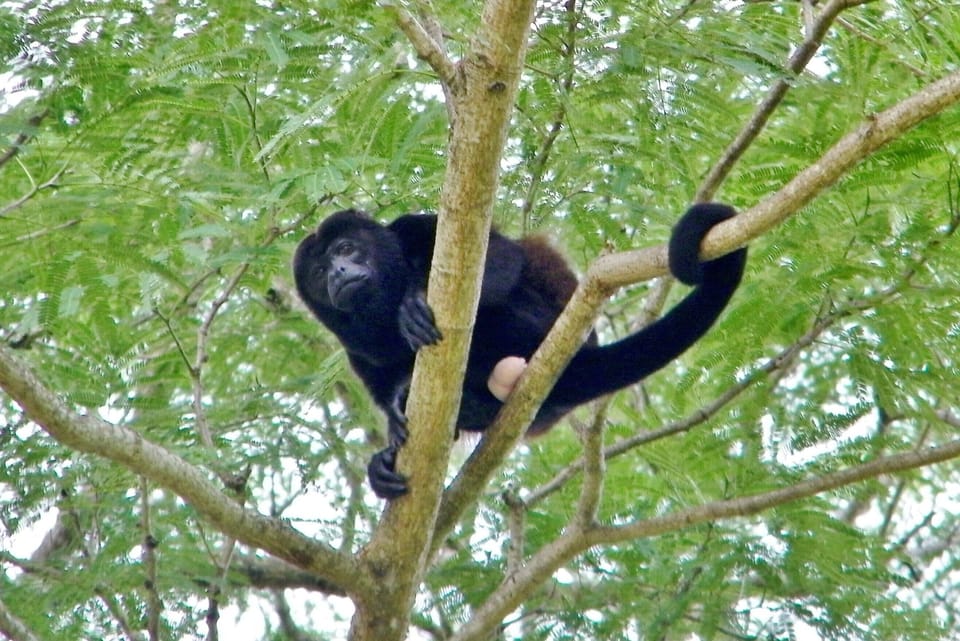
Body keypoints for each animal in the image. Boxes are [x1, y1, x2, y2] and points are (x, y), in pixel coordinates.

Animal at [293, 204, 747, 499]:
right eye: (318, 272)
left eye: (346, 249)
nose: (338, 273)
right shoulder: (354, 349)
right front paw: (385, 449)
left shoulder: (414, 228)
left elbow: (500, 259)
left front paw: (414, 301)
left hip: (529, 327)